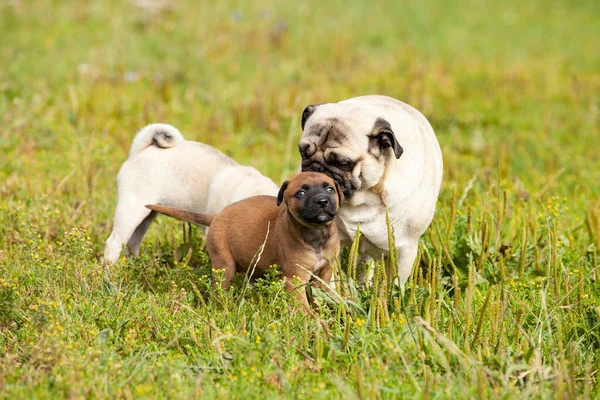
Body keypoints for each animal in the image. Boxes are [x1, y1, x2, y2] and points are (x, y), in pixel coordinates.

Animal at [103, 123, 278, 264]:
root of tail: (141, 150)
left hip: (148, 214)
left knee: (132, 242)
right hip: (132, 211)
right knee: (113, 243)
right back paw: (110, 273)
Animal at [145, 172, 342, 310]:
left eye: (330, 189)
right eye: (300, 193)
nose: (322, 201)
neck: (316, 233)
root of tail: (216, 216)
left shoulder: (324, 274)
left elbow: (318, 298)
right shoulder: (295, 278)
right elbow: (303, 306)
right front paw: (311, 323)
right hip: (225, 266)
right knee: (218, 291)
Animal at [298, 95, 442, 286]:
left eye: (343, 163)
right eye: (303, 153)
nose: (316, 169)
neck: (362, 199)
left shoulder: (404, 250)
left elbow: (394, 285)